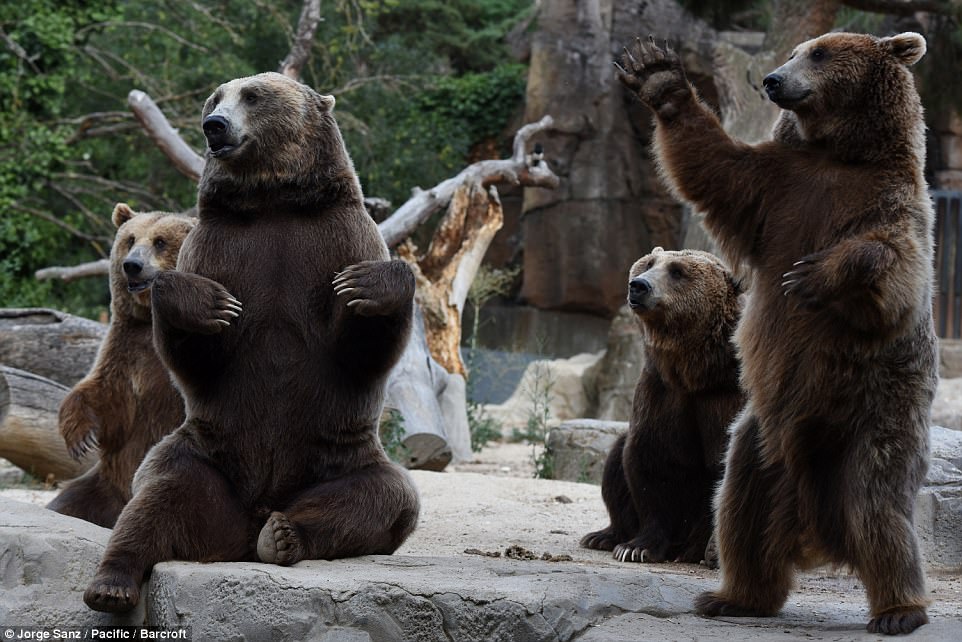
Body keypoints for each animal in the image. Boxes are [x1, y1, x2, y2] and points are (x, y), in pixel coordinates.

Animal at [46, 204, 192, 524]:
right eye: (130, 239)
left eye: (160, 241)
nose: (132, 265)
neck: (151, 318)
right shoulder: (128, 349)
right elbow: (105, 395)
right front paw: (82, 439)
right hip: (103, 484)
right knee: (68, 501)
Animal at [79, 71, 416, 608]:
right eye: (215, 98)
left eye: (253, 96)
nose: (214, 125)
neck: (273, 202)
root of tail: (242, 526)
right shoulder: (220, 246)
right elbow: (201, 351)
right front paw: (206, 302)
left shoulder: (339, 237)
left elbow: (358, 349)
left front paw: (370, 284)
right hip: (208, 454)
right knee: (160, 494)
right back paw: (112, 583)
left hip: (339, 457)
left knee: (383, 497)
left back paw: (283, 536)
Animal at [576, 248, 744, 564]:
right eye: (649, 263)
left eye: (677, 271)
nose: (638, 286)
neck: (695, 372)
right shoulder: (662, 390)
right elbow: (652, 460)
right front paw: (636, 547)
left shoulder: (729, 396)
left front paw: (707, 549)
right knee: (615, 460)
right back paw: (603, 535)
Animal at [616, 32, 936, 632]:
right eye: (796, 50)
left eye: (821, 52)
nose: (772, 80)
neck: (838, 155)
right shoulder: (776, 189)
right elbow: (714, 166)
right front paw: (656, 74)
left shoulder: (895, 201)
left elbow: (890, 259)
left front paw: (812, 276)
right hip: (759, 435)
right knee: (742, 504)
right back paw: (733, 596)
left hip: (876, 409)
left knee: (878, 506)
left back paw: (900, 609)